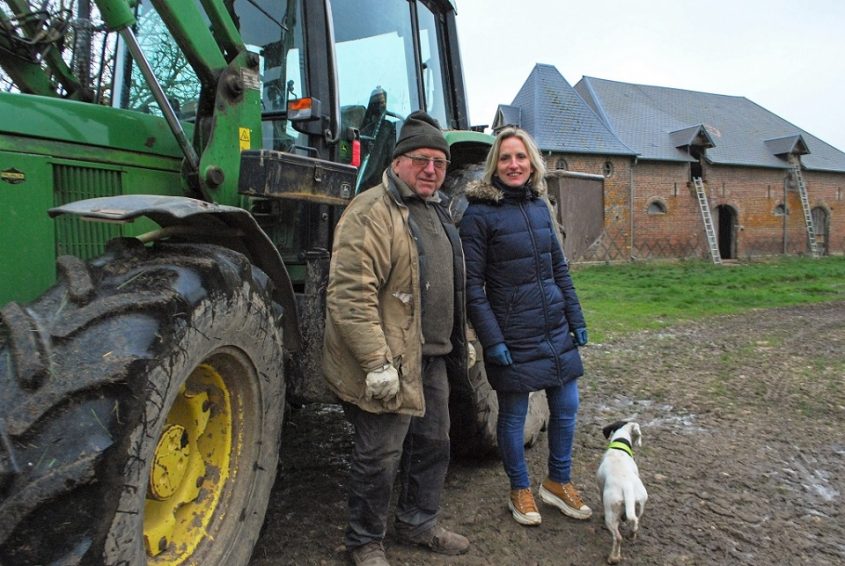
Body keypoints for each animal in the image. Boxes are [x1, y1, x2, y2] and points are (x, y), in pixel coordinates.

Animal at [592, 422, 648, 564]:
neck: (620, 449)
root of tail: (627, 486)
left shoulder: (601, 488)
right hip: (640, 505)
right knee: (635, 523)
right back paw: (631, 535)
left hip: (611, 512)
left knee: (617, 538)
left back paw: (613, 558)